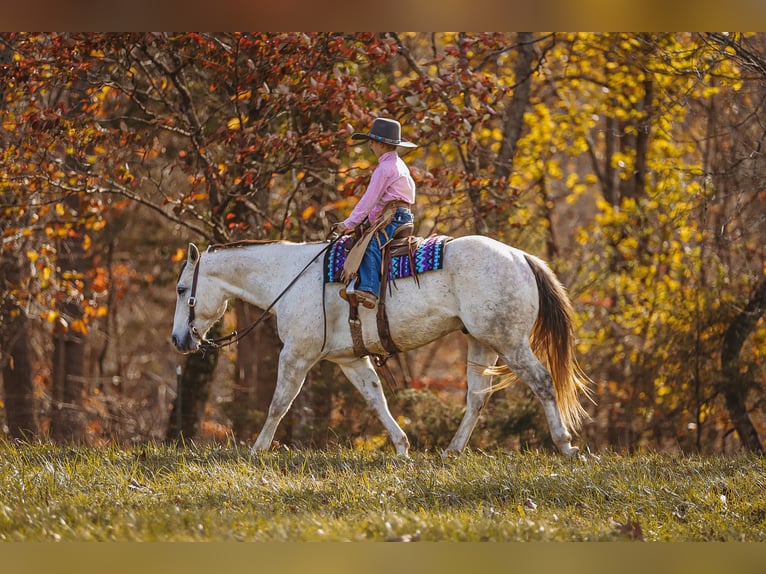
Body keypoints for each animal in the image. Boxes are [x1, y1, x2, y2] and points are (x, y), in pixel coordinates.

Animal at [172, 235, 592, 460]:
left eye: (180, 289)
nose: (179, 340)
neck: (290, 278)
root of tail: (521, 257)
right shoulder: (350, 360)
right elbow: (377, 400)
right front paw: (403, 448)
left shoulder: (296, 355)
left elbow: (279, 403)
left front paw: (257, 450)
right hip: (482, 342)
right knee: (477, 398)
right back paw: (451, 451)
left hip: (510, 342)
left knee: (543, 382)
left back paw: (566, 446)